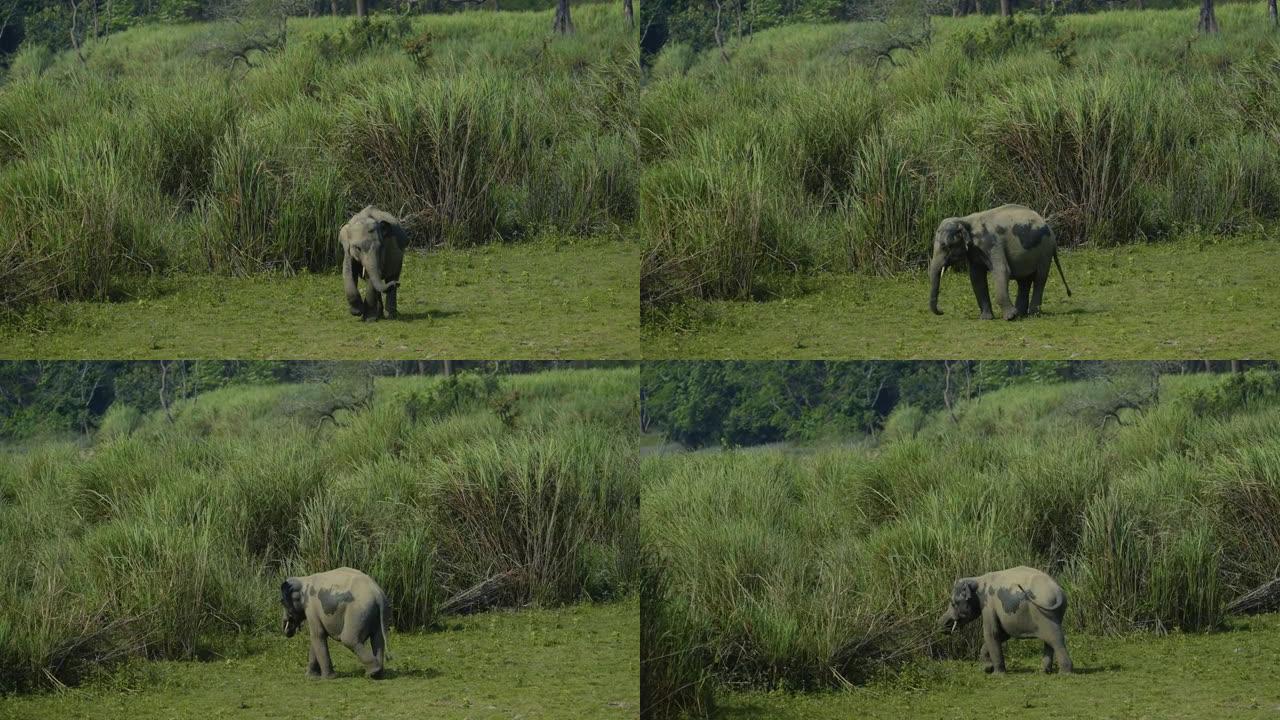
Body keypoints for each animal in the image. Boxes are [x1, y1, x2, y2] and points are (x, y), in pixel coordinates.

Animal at [931, 203, 1070, 317]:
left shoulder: (992, 243)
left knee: (1039, 279)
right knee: (1024, 281)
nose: (942, 311)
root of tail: (1050, 228)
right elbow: (976, 277)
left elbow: (1002, 270)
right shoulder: (974, 250)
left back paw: (1032, 314)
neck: (965, 220)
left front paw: (1010, 317)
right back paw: (1021, 314)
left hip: (1045, 250)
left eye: (945, 246)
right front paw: (986, 318)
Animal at [942, 566, 1070, 671]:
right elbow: (1003, 634)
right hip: (1055, 613)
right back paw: (1044, 671)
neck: (977, 580)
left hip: (1044, 614)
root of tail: (1058, 592)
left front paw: (996, 673)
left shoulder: (988, 604)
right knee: (1050, 640)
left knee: (1055, 639)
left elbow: (992, 633)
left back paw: (1065, 672)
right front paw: (987, 668)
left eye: (953, 603)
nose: (944, 626)